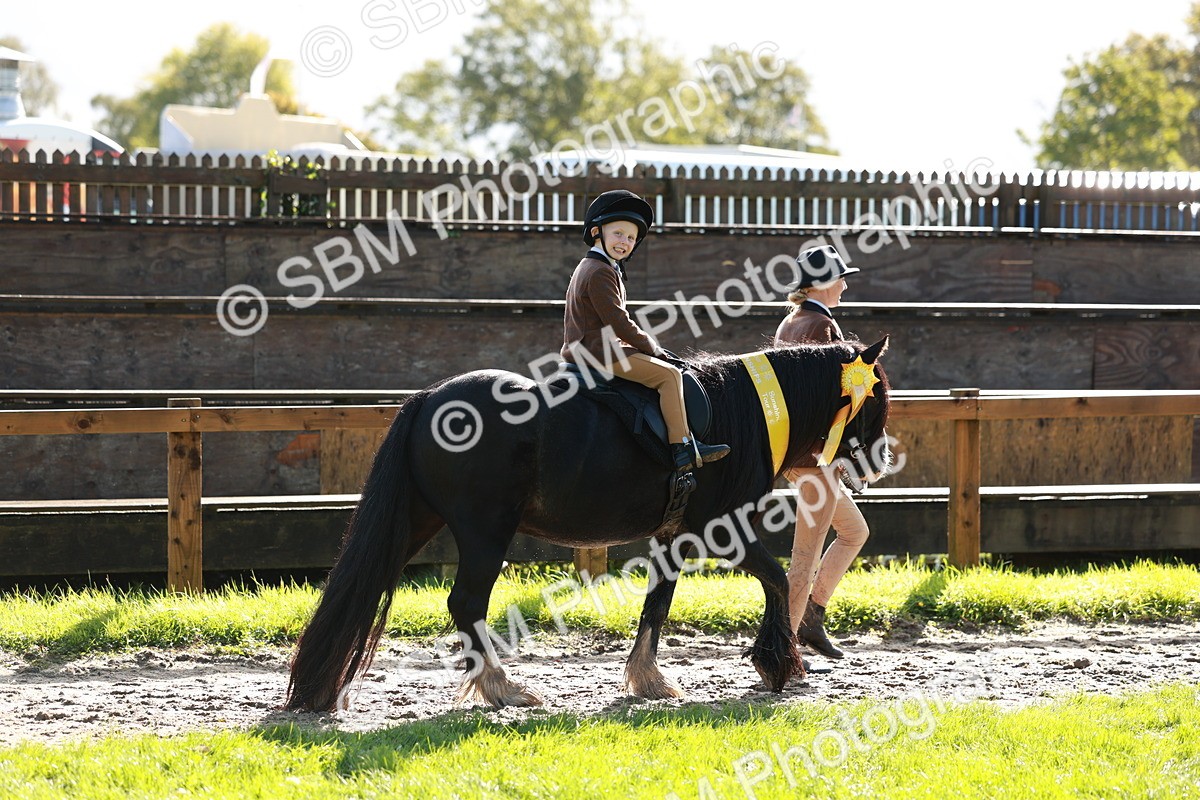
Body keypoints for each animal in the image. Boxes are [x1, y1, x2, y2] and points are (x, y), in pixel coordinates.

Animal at [284, 337, 892, 712]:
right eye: (878, 393)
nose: (881, 459)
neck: (738, 412)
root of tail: (430, 398)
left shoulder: (675, 534)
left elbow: (658, 604)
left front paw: (649, 679)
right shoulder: (723, 529)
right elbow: (777, 579)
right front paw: (780, 663)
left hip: (415, 521)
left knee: (365, 585)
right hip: (484, 533)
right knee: (466, 603)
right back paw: (503, 687)